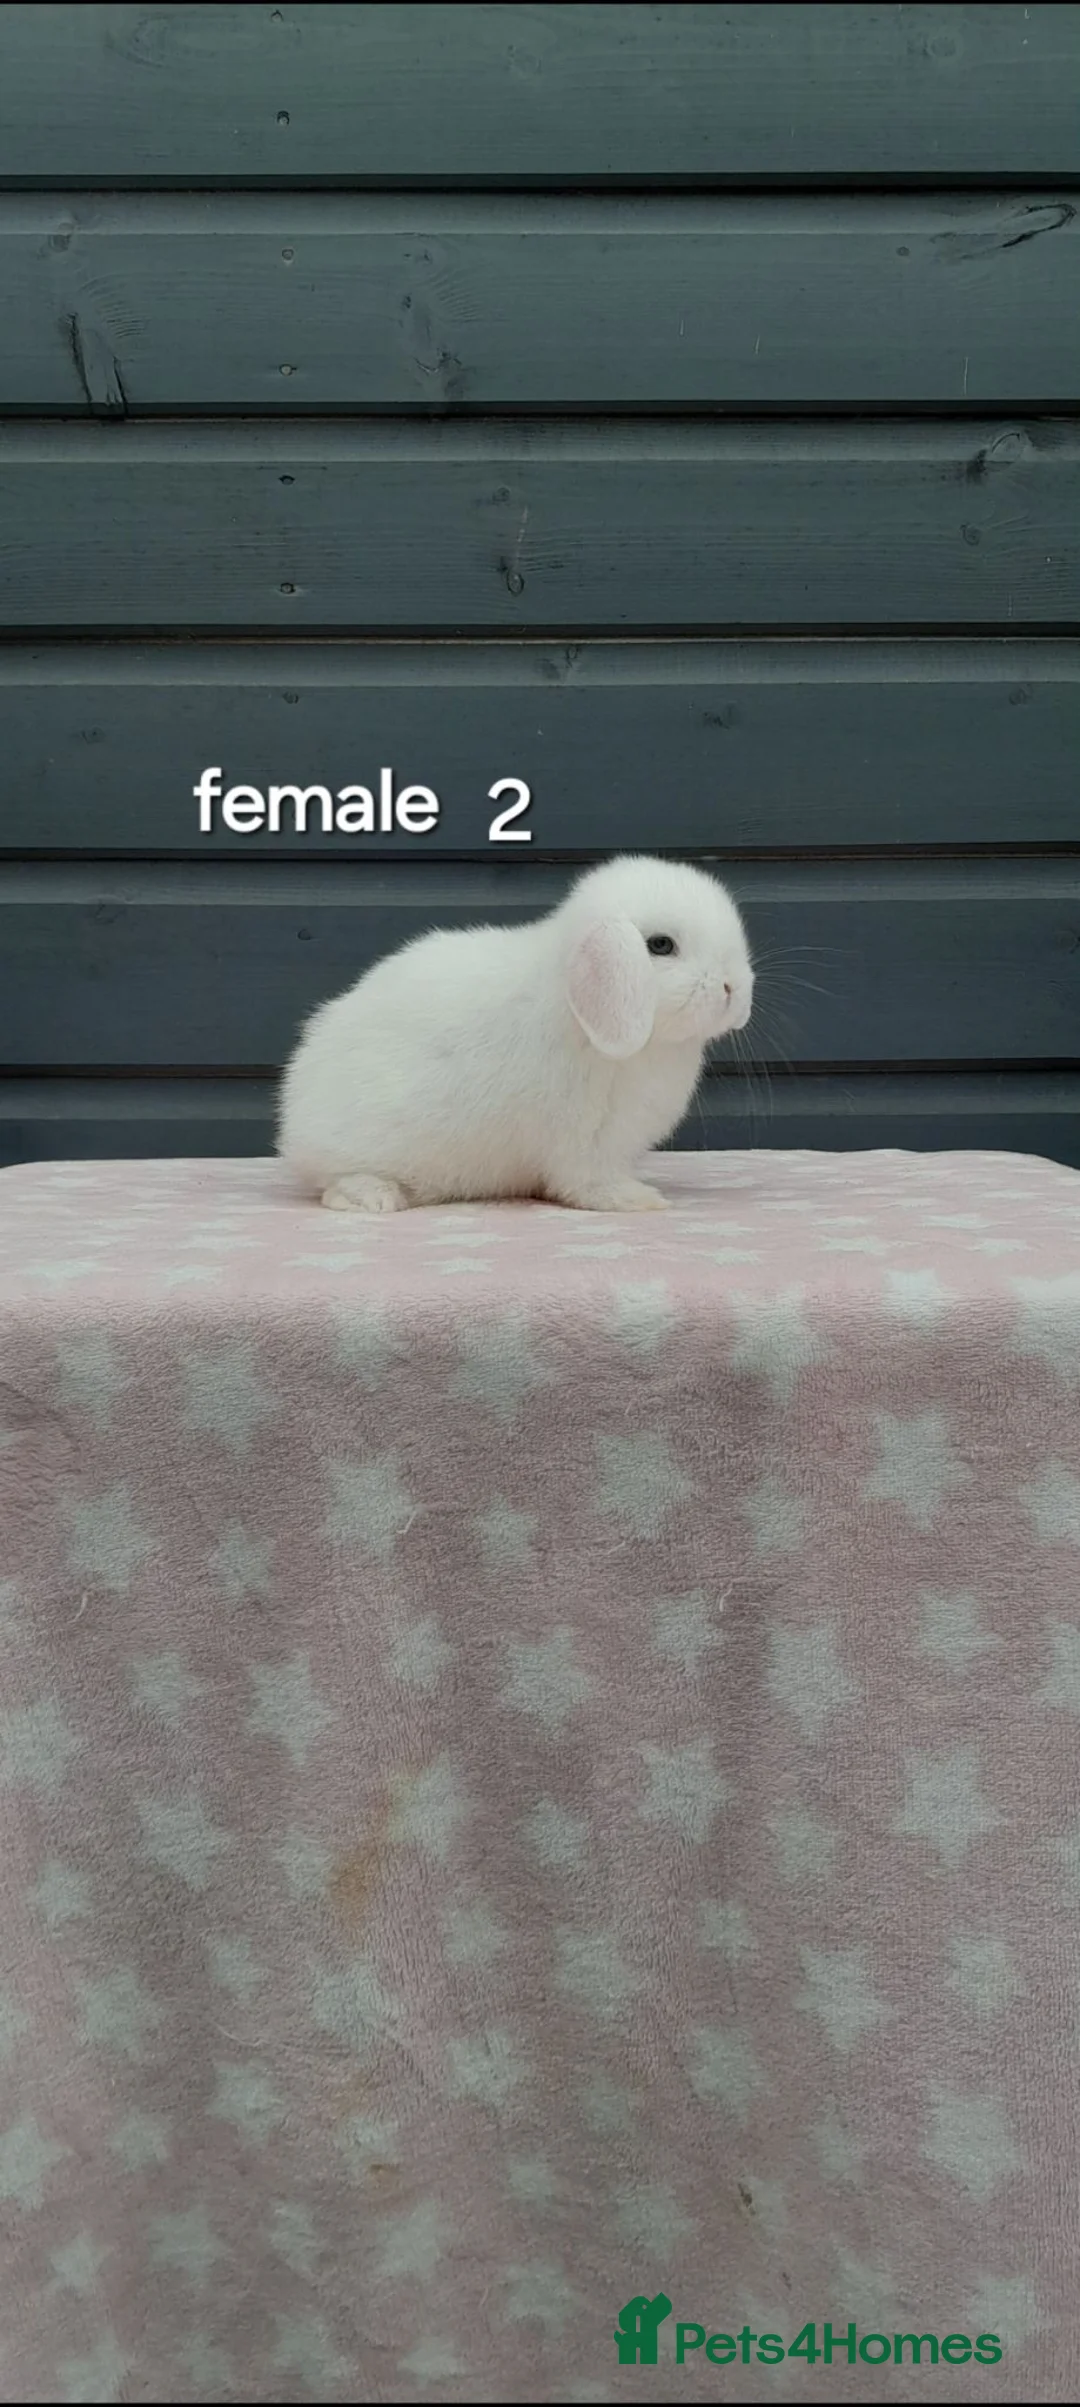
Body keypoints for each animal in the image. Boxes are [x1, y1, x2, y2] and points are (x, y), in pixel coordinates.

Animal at [276, 853, 753, 1213]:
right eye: (660, 945)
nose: (734, 988)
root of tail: (292, 1119)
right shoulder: (586, 1141)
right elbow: (588, 1182)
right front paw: (639, 1200)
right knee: (336, 1184)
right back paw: (377, 1198)